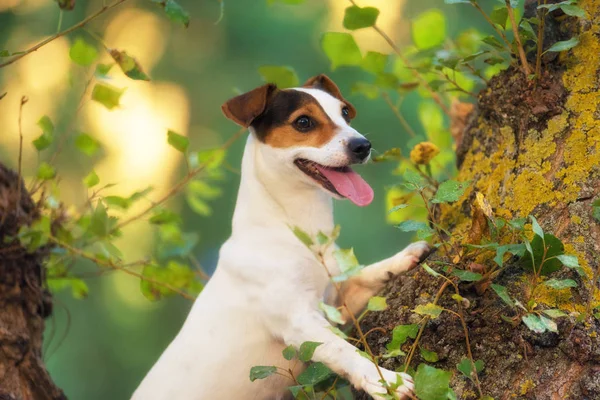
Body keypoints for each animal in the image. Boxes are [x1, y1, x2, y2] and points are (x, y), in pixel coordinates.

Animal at [133, 75, 428, 400]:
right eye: (303, 122)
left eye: (345, 114)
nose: (363, 145)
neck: (298, 232)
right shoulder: (300, 322)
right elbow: (343, 350)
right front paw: (385, 380)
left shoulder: (336, 303)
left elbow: (367, 275)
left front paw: (404, 257)